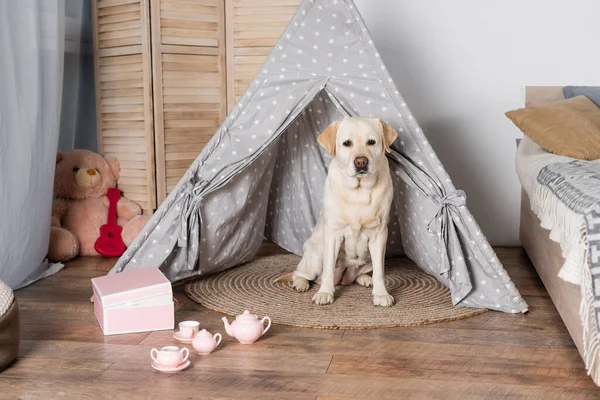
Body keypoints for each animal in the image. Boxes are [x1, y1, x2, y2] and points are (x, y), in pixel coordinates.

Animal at [292, 115, 398, 306]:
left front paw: (381, 294)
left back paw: (364, 279)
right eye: (347, 143)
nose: (361, 161)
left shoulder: (379, 235)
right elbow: (328, 269)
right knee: (300, 273)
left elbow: (380, 271)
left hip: (369, 258)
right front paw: (325, 293)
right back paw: (301, 283)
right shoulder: (333, 233)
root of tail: (343, 278)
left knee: (361, 273)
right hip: (316, 256)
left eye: (371, 142)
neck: (359, 190)